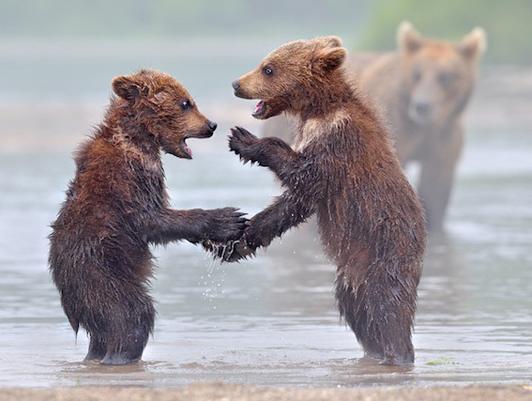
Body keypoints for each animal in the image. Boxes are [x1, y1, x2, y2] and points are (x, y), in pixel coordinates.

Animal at [48, 70, 246, 364]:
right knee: (131, 315)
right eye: (185, 103)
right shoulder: (130, 180)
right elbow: (151, 220)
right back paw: (122, 355)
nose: (211, 125)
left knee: (102, 334)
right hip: (101, 272)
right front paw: (228, 219)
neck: (139, 137)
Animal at [264, 23, 488, 230]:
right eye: (417, 74)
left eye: (446, 76)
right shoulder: (396, 133)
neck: (422, 127)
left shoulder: (444, 139)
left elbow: (436, 187)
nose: (422, 106)